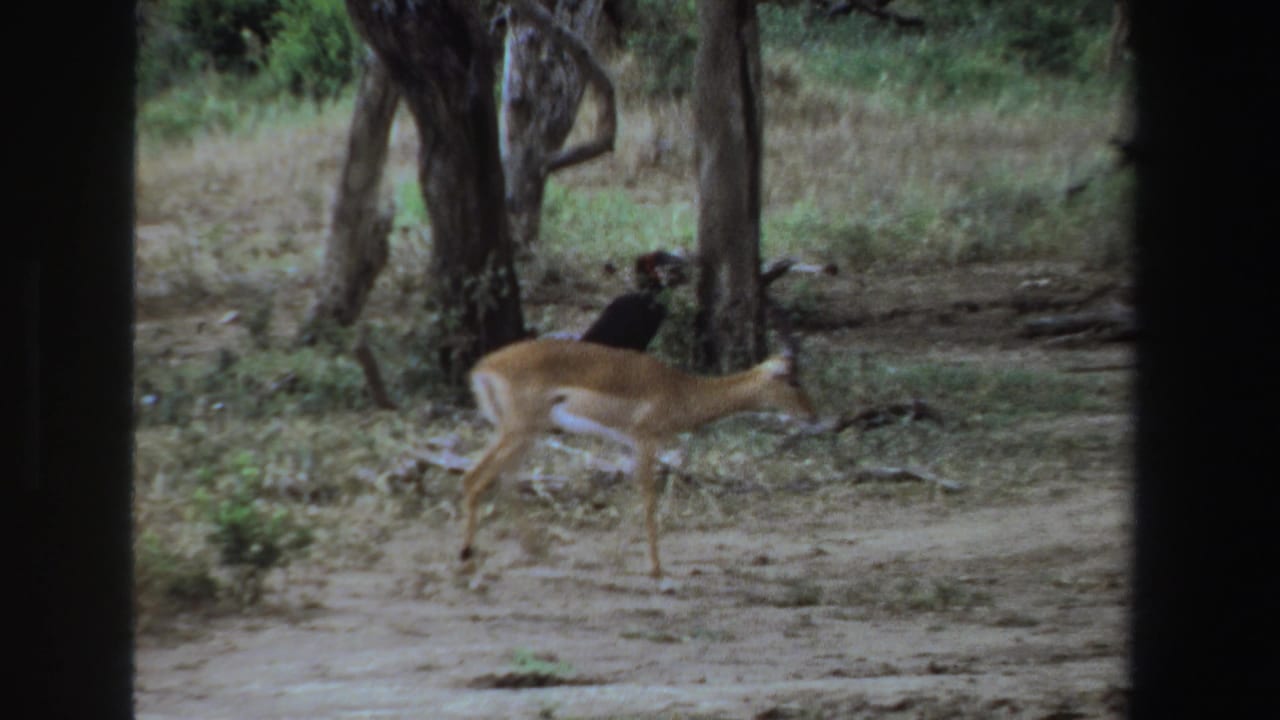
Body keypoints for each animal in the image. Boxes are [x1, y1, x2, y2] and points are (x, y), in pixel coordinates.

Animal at [458, 338, 817, 578]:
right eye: (793, 379)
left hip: (520, 433)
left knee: (503, 478)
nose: (812, 416)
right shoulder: (645, 441)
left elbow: (635, 496)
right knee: (475, 477)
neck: (681, 390)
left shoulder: (629, 446)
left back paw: (535, 549)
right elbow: (648, 498)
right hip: (518, 431)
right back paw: (468, 556)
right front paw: (656, 568)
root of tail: (483, 368)